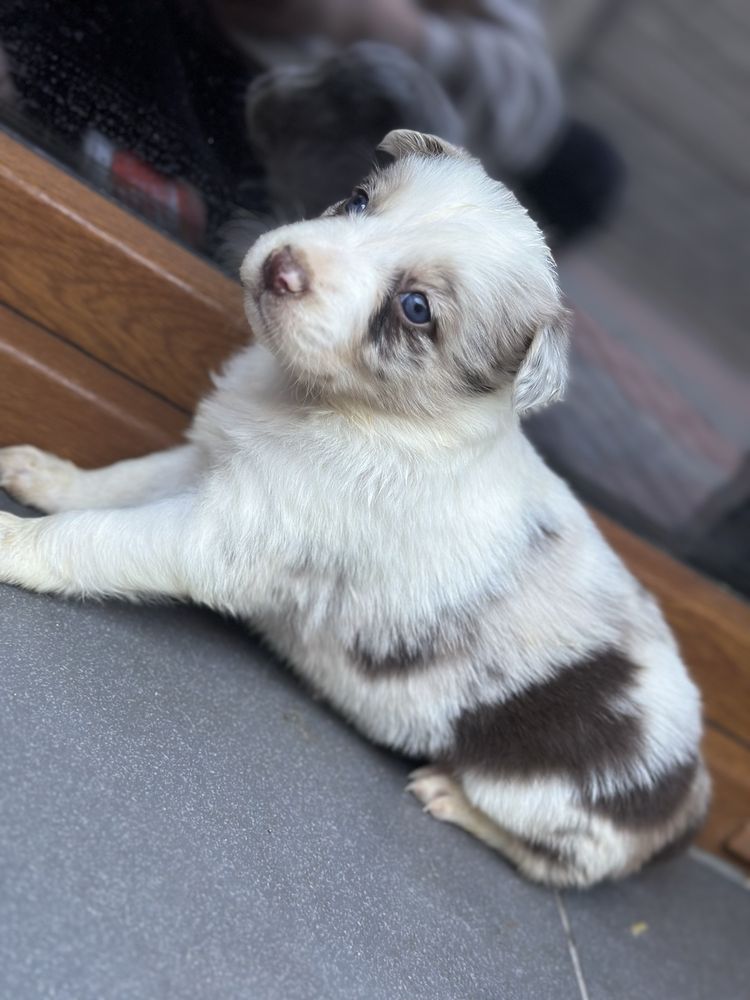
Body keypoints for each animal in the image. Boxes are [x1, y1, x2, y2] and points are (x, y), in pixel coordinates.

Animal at [0, 129, 712, 888]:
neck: (330, 404)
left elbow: (92, 536)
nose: (281, 266)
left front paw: (15, 543)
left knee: (558, 863)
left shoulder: (218, 534)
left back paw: (450, 796)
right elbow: (119, 482)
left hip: (547, 797)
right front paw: (47, 475)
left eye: (416, 309)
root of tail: (693, 791)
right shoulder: (212, 464)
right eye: (360, 200)